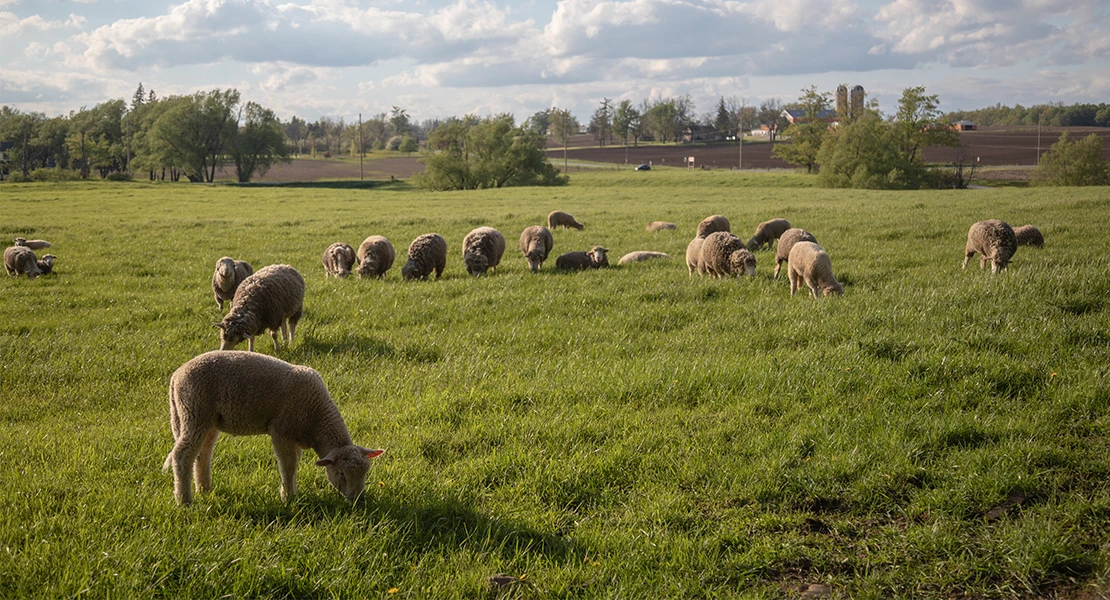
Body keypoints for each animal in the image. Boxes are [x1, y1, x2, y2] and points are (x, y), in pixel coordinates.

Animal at [160, 350, 386, 505]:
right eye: (340, 474)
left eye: (365, 472)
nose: (358, 500)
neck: (317, 418)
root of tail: (176, 375)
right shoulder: (281, 431)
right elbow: (288, 465)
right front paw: (288, 498)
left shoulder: (294, 436)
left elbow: (294, 464)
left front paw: (292, 492)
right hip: (195, 412)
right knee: (182, 456)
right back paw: (184, 501)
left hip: (198, 419)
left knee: (202, 454)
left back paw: (204, 490)